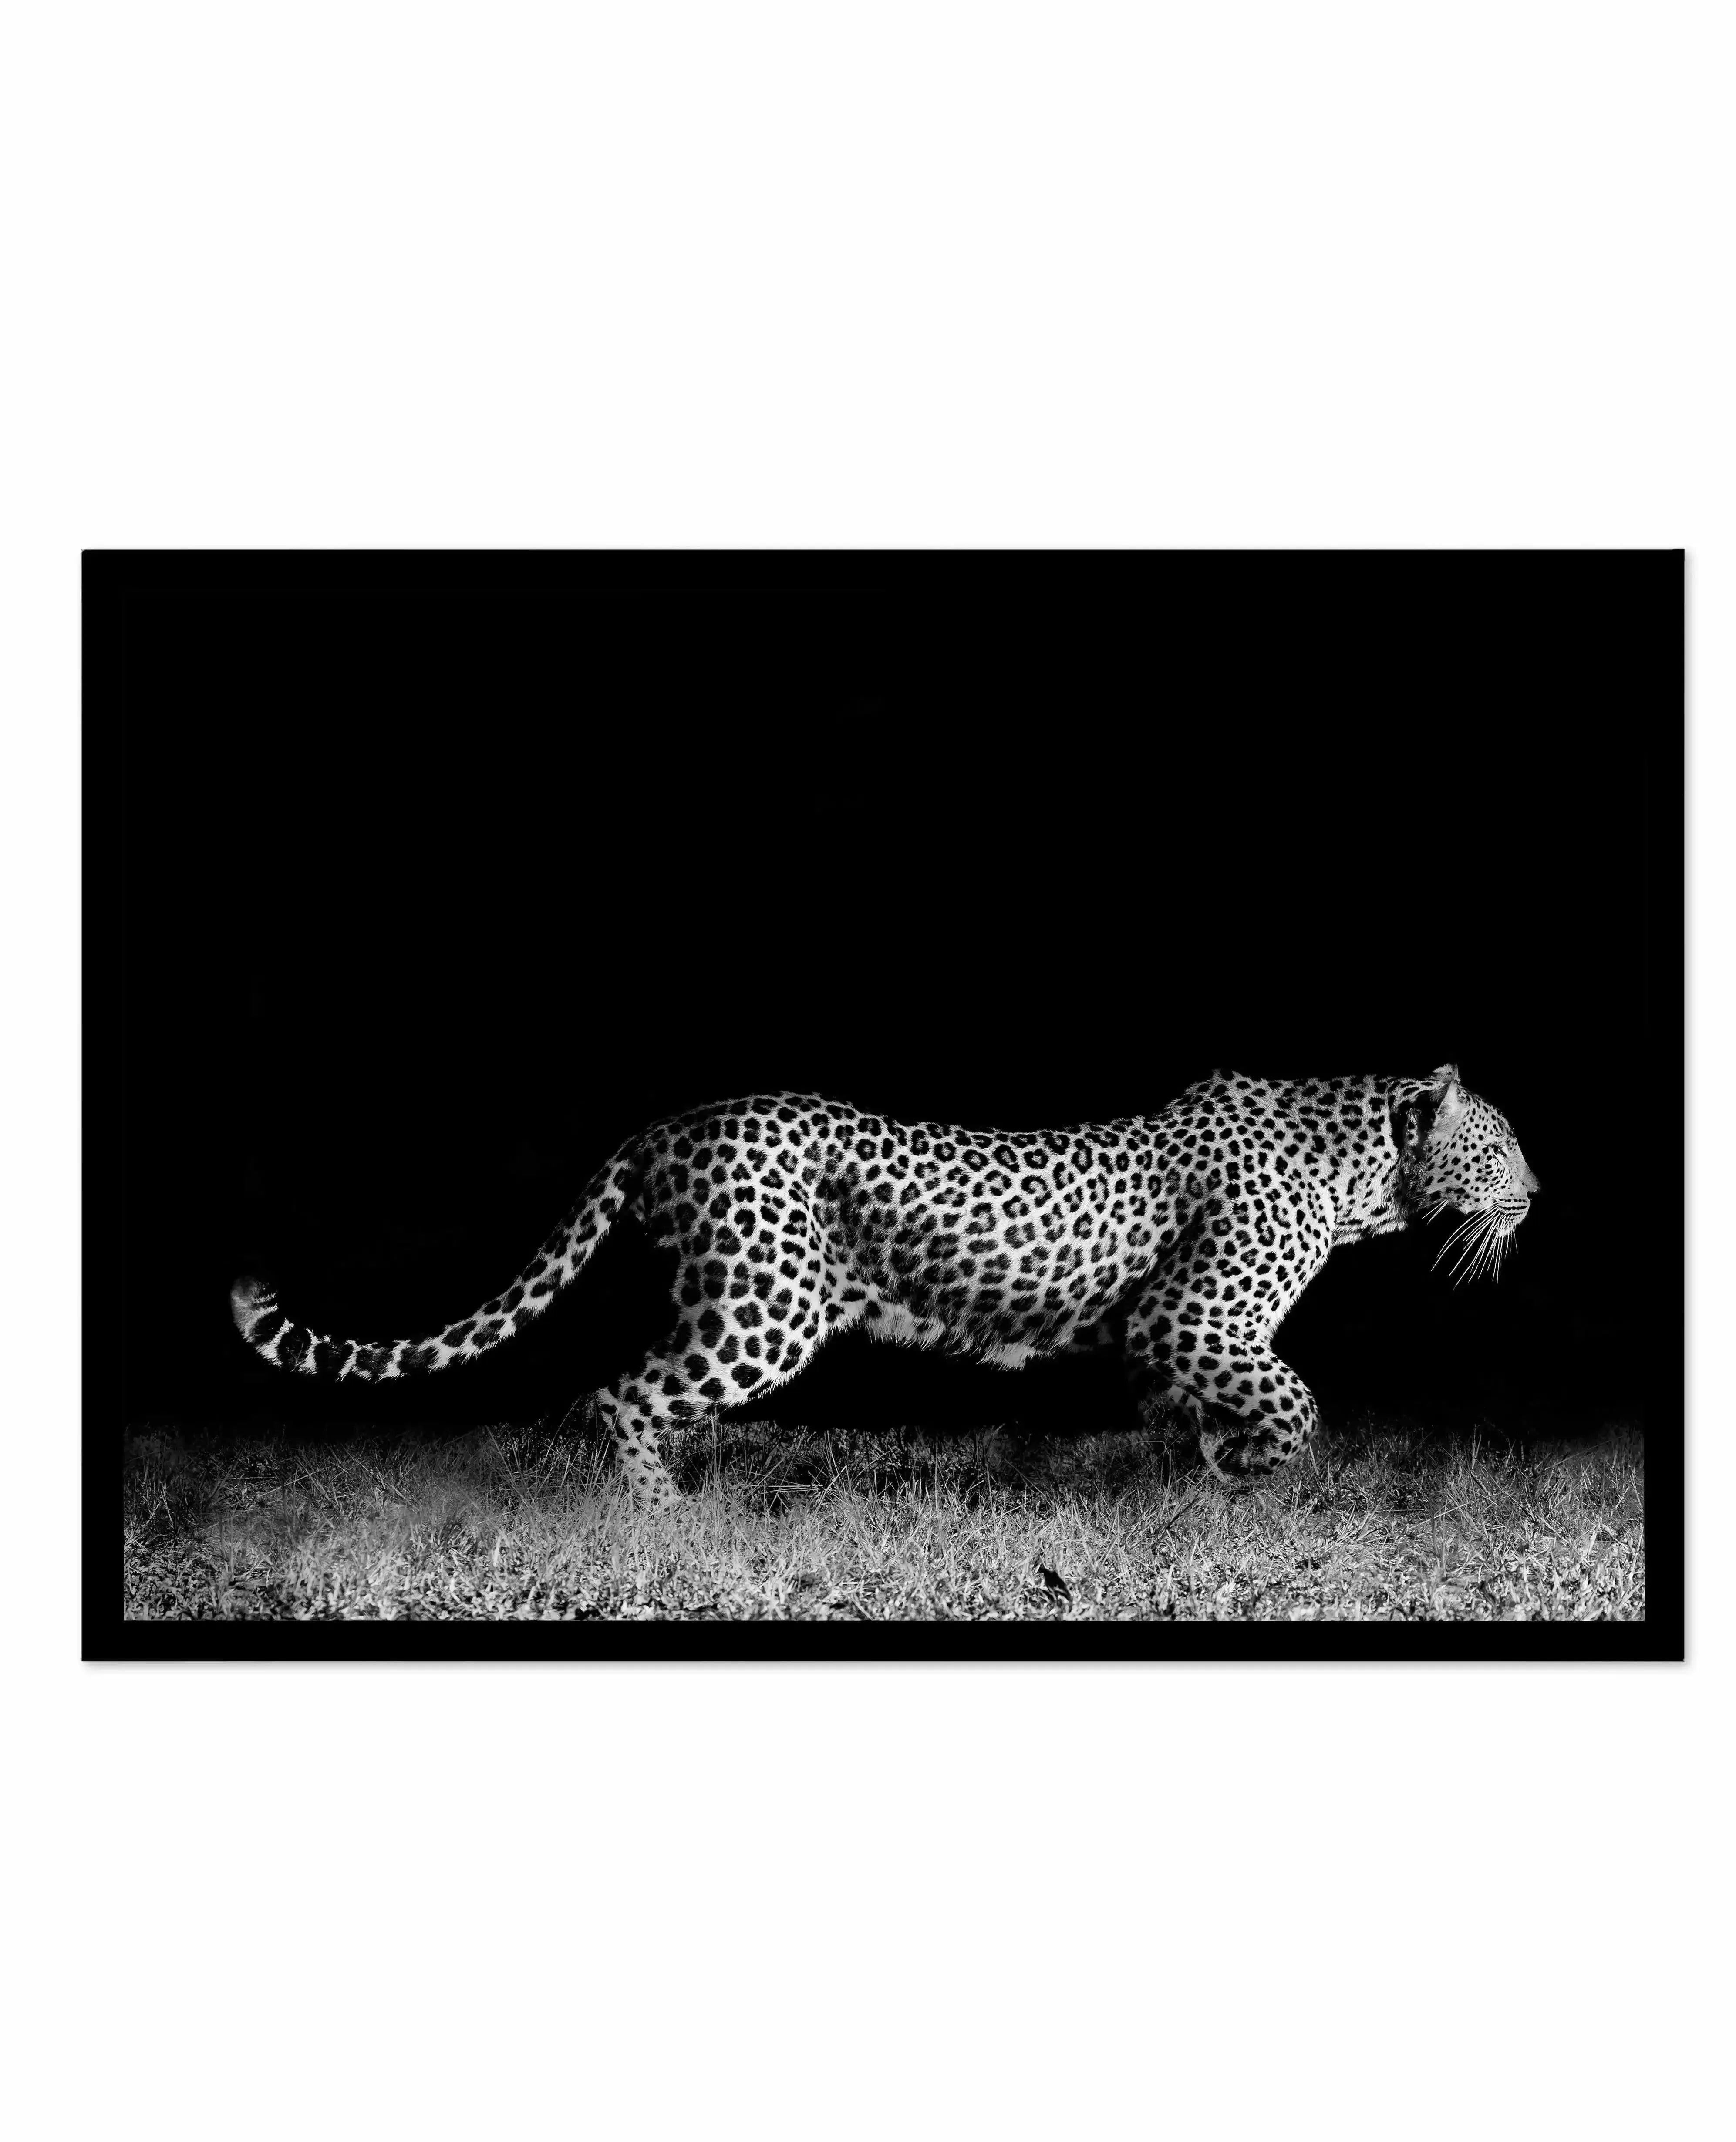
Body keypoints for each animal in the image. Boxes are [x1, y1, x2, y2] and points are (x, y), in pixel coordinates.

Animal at [230, 1063, 1538, 1509]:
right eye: (1502, 1145)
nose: (1539, 1190)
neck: (1363, 1173)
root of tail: (666, 1123)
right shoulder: (1193, 1316)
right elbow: (1295, 1400)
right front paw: (1253, 1468)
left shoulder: (1157, 1338)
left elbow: (1191, 1412)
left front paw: (1204, 1475)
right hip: (765, 1307)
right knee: (619, 1393)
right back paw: (665, 1518)